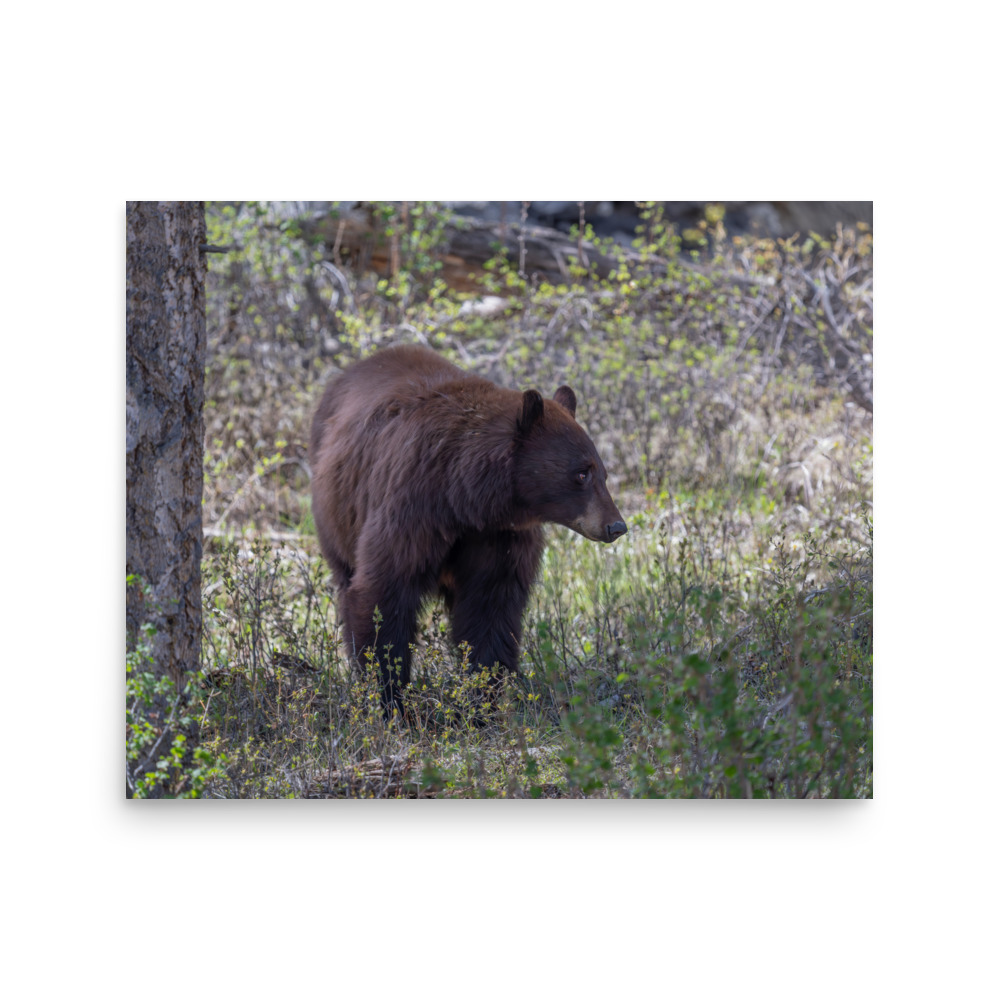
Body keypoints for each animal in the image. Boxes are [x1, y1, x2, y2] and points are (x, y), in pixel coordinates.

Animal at [309, 343, 627, 716]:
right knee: (347, 581)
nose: (616, 525)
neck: (465, 498)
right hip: (336, 515)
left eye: (603, 473)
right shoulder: (411, 508)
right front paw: (390, 701)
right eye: (581, 473)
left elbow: (490, 608)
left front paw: (481, 702)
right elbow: (383, 593)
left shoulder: (499, 537)